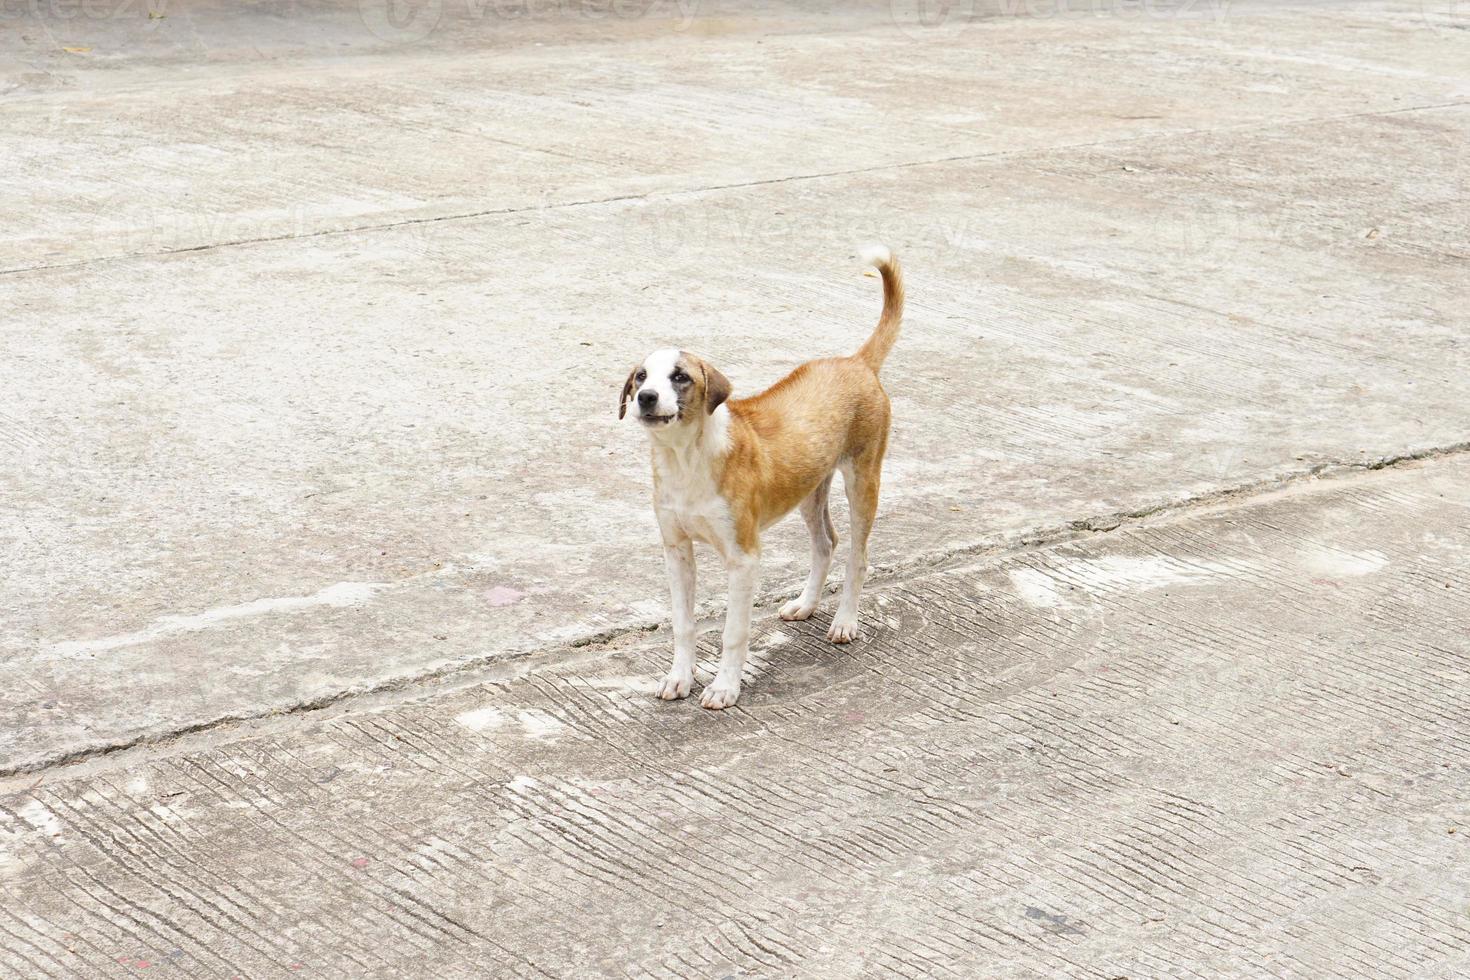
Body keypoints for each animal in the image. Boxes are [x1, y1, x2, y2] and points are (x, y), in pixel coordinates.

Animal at [617, 242, 899, 708]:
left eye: (680, 377)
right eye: (641, 377)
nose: (646, 397)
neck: (685, 458)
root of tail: (854, 362)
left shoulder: (743, 558)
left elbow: (734, 632)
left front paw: (724, 687)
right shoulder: (676, 550)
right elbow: (683, 624)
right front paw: (679, 677)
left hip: (863, 480)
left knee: (857, 556)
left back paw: (845, 622)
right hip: (810, 488)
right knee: (826, 543)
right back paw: (805, 604)